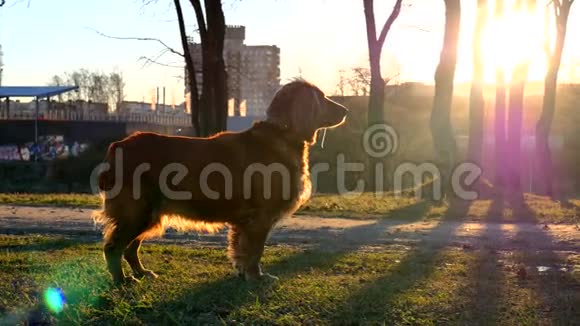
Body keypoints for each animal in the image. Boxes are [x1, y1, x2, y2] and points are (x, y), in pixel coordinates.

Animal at [93, 80, 346, 284]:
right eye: (322, 97)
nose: (346, 110)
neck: (282, 133)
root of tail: (119, 145)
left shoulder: (245, 221)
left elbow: (241, 250)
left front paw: (244, 273)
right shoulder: (259, 218)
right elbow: (255, 251)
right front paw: (257, 277)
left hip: (149, 215)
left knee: (130, 249)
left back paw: (142, 273)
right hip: (138, 213)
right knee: (113, 248)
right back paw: (122, 280)